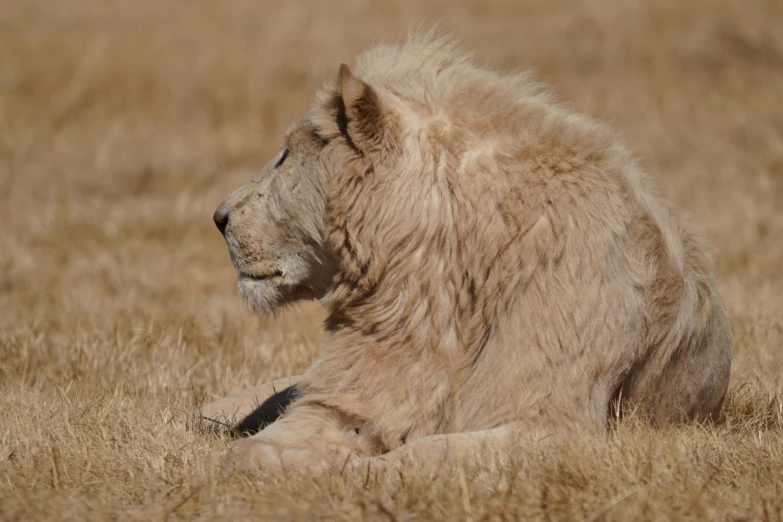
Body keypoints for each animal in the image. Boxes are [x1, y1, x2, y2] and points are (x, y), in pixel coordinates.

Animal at [194, 32, 728, 472]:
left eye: (286, 155)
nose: (218, 217)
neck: (429, 278)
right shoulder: (352, 396)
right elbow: (264, 442)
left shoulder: (555, 423)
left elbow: (416, 457)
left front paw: (340, 471)